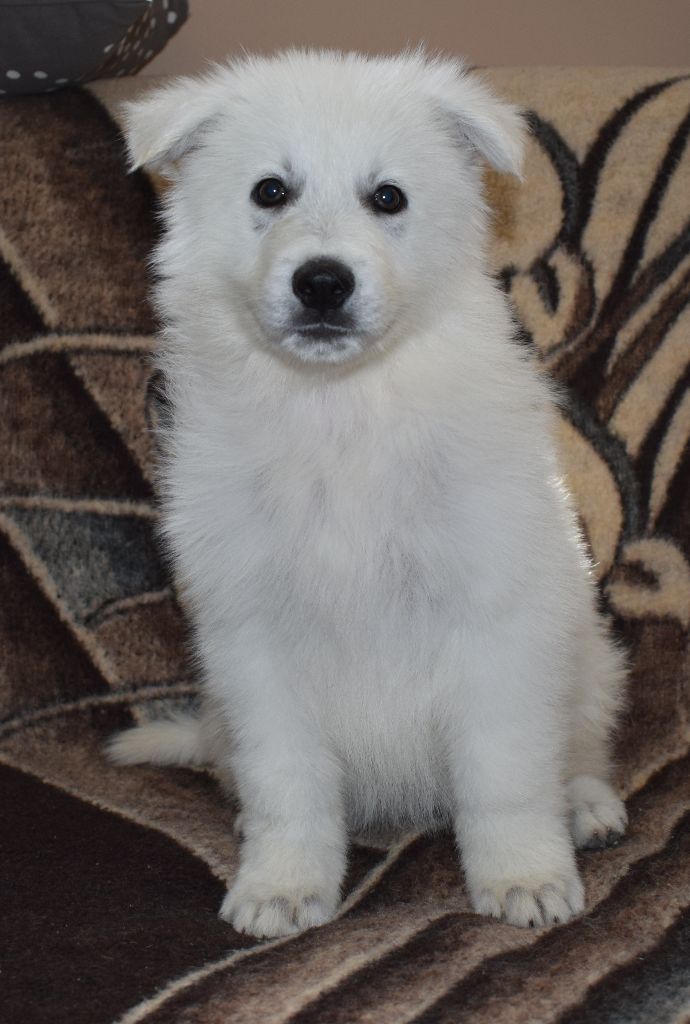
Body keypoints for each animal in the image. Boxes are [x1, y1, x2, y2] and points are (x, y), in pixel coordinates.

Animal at [108, 48, 628, 939]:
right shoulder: (253, 642)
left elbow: (505, 775)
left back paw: (588, 808)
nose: (323, 283)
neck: (339, 406)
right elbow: (288, 783)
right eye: (269, 191)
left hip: (591, 660)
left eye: (388, 197)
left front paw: (523, 875)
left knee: (580, 751)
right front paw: (282, 884)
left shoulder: (497, 627)